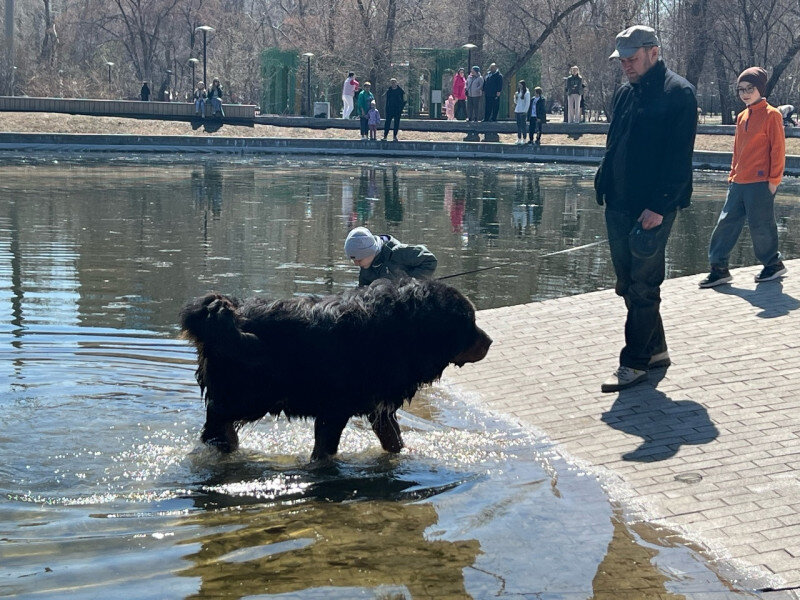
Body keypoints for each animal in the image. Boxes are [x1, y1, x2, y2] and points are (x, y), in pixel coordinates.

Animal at [181, 278, 490, 460]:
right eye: (470, 322)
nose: (489, 340)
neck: (401, 330)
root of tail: (226, 312)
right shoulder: (335, 410)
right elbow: (325, 451)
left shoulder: (378, 407)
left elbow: (394, 440)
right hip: (246, 396)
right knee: (216, 426)